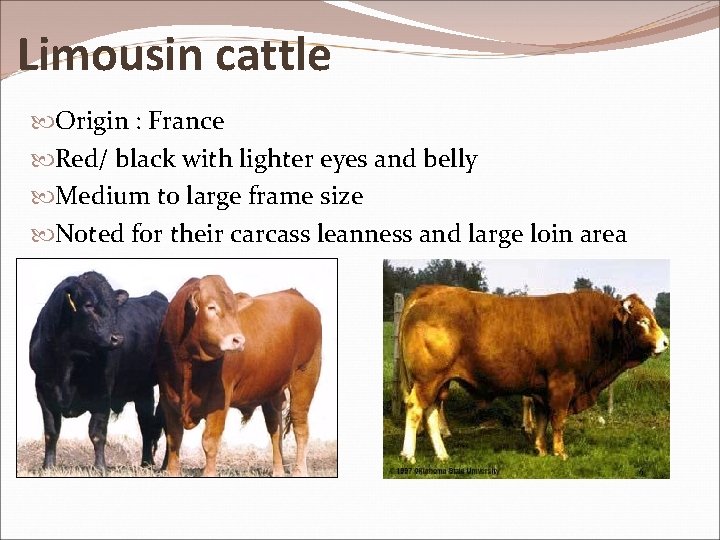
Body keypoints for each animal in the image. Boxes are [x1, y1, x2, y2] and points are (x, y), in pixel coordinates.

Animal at [29, 271, 169, 471]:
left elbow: (97, 432)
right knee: (146, 424)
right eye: (88, 305)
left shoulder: (102, 393)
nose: (117, 338)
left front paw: (101, 467)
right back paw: (146, 463)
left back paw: (157, 465)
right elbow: (51, 432)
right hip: (143, 389)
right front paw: (47, 467)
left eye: (115, 308)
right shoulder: (43, 390)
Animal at [156, 275, 322, 477]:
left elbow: (209, 441)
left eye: (235, 311)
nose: (239, 340)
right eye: (211, 307)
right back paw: (278, 470)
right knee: (275, 429)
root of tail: (295, 295)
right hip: (271, 388)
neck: (187, 364)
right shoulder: (167, 398)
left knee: (300, 426)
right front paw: (172, 472)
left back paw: (299, 470)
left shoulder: (219, 400)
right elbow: (174, 439)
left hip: (305, 377)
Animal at [398, 285, 668, 463]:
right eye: (642, 321)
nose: (665, 342)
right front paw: (560, 452)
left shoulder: (541, 387)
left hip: (438, 381)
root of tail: (427, 295)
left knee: (431, 412)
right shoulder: (562, 384)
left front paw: (540, 448)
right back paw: (408, 454)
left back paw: (442, 454)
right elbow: (557, 420)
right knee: (415, 409)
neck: (592, 326)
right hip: (427, 379)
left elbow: (542, 418)